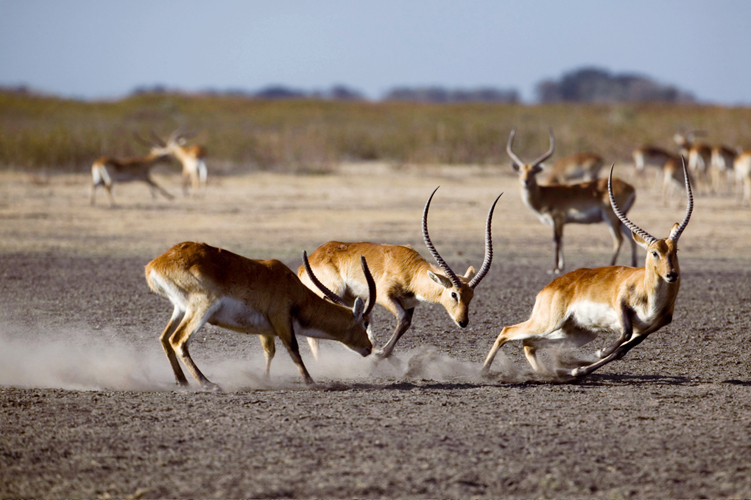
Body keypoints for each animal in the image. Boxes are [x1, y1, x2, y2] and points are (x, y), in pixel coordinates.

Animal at [145, 240, 378, 388]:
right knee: (178, 340)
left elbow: (269, 352)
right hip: (201, 308)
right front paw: (310, 382)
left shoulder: (266, 330)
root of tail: (154, 265)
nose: (369, 348)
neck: (293, 289)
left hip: (180, 309)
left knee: (164, 338)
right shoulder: (282, 319)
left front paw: (265, 380)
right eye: (365, 323)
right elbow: (293, 348)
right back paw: (207, 384)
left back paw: (182, 382)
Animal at [296, 188, 502, 360]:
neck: (412, 271)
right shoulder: (384, 296)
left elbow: (406, 323)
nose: (463, 322)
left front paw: (381, 352)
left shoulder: (409, 304)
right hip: (333, 293)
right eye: (454, 294)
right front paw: (381, 353)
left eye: (471, 296)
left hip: (349, 297)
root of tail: (309, 261)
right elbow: (402, 320)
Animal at [484, 160, 696, 378]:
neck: (648, 292)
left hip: (577, 333)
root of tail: (549, 287)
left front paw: (580, 368)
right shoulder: (621, 306)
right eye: (654, 252)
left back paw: (550, 374)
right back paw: (484, 372)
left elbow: (621, 351)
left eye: (675, 250)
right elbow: (623, 335)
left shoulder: (646, 330)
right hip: (549, 323)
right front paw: (598, 353)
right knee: (507, 331)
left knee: (528, 343)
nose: (671, 274)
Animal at [508, 129, 636, 274]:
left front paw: (555, 268)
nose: (526, 181)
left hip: (611, 217)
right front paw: (561, 266)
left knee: (618, 239)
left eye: (533, 171)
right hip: (621, 218)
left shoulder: (558, 218)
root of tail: (630, 187)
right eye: (520, 171)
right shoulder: (558, 222)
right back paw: (633, 265)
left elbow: (556, 240)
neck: (543, 194)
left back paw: (611, 265)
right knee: (631, 238)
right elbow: (562, 240)